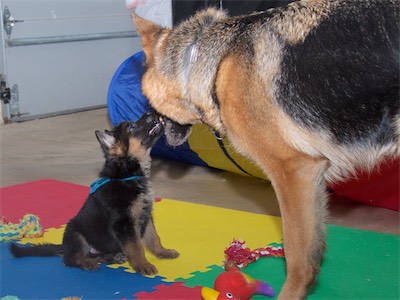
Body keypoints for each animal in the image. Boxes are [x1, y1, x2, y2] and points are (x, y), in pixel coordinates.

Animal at [10, 111, 179, 276]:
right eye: (131, 127)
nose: (151, 112)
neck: (126, 176)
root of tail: (64, 246)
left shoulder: (146, 214)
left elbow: (154, 238)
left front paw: (163, 252)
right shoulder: (124, 223)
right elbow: (136, 247)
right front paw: (143, 265)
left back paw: (112, 257)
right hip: (76, 234)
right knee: (70, 259)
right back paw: (87, 263)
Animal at [133, 1, 398, 298]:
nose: (146, 118)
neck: (215, 61)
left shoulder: (293, 173)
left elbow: (297, 257)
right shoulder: (313, 177)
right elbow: (315, 249)